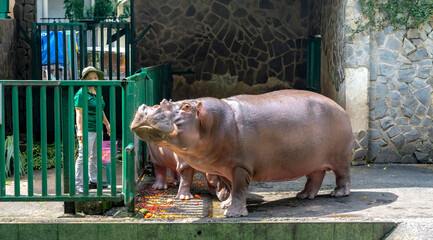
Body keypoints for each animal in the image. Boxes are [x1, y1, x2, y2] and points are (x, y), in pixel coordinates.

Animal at [130, 90, 352, 218]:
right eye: (163, 101)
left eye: (185, 107)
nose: (146, 109)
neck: (211, 122)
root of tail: (340, 107)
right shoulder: (225, 168)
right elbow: (231, 188)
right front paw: (225, 204)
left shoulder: (240, 167)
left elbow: (238, 189)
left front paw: (233, 214)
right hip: (313, 160)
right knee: (316, 176)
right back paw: (304, 195)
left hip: (340, 158)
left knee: (343, 175)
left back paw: (339, 193)